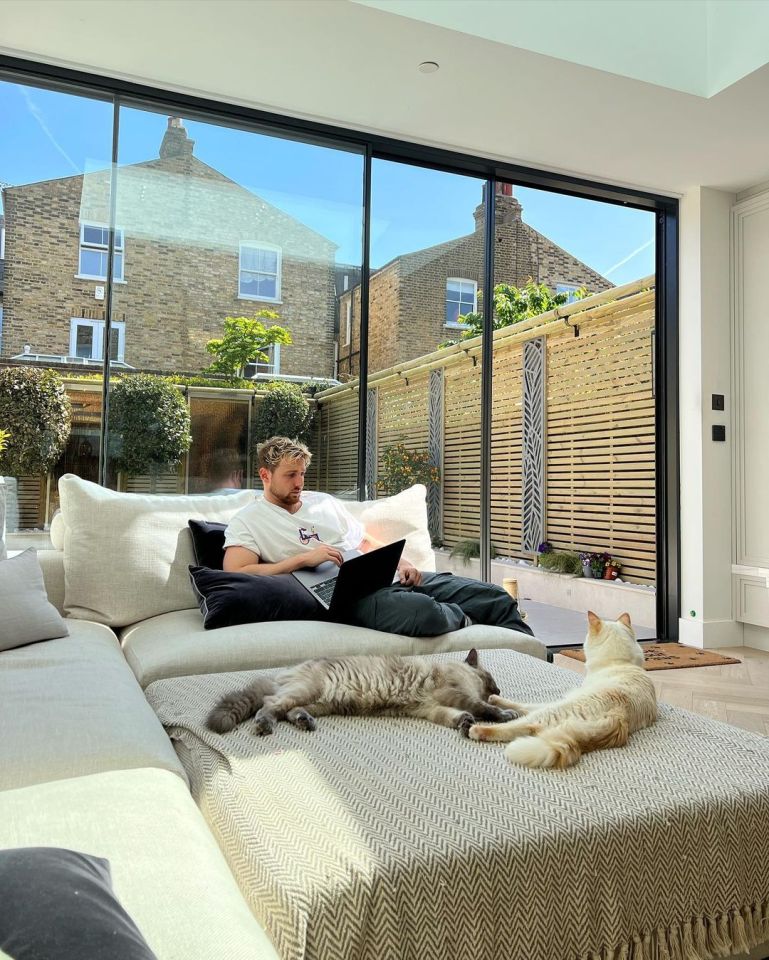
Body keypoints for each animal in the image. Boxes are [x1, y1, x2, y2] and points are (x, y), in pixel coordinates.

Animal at [207, 648, 512, 740]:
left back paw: (305, 723)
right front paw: (504, 713)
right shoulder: (453, 694)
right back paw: (264, 726)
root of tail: (284, 673)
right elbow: (483, 708)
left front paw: (465, 724)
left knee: (289, 711)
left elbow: (456, 717)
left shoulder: (432, 708)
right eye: (492, 681)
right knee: (269, 706)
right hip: (307, 691)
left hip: (317, 702)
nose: (499, 690)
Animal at [468, 612, 656, 768]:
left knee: (519, 723)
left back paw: (477, 729)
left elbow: (523, 706)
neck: (621, 661)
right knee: (528, 723)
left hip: (554, 710)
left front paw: (494, 700)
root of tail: (619, 717)